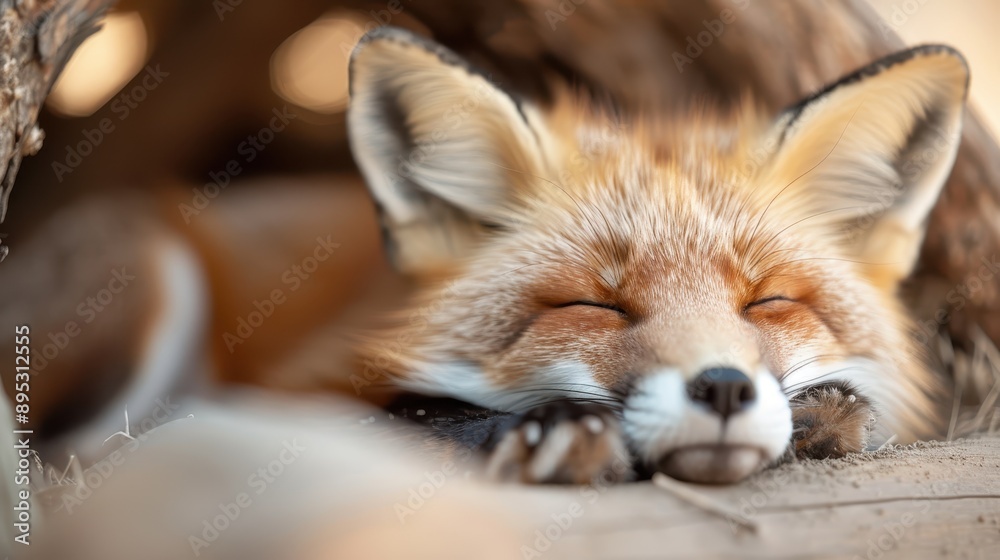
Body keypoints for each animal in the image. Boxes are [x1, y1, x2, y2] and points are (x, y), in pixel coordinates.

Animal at [344, 27, 969, 484]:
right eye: (591, 305)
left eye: (768, 300)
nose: (725, 388)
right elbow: (417, 417)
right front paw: (550, 428)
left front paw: (818, 415)